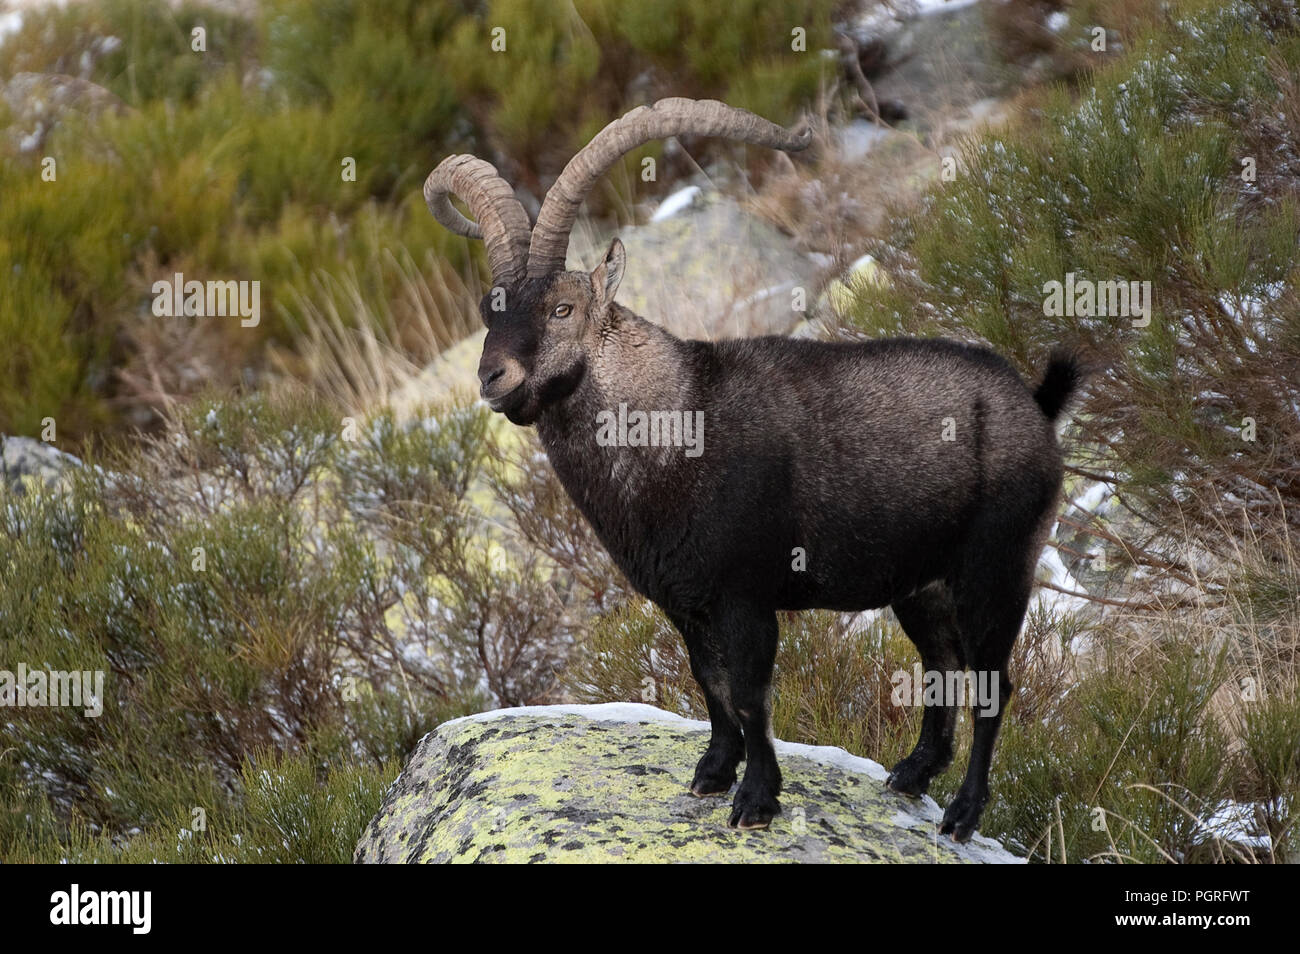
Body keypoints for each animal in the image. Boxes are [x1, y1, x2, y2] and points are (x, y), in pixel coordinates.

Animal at [424, 98, 1082, 841]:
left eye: (563, 308)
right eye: (489, 311)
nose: (493, 377)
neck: (674, 423)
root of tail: (1035, 403)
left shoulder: (745, 595)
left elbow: (748, 693)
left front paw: (757, 800)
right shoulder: (685, 601)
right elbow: (708, 684)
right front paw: (713, 772)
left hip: (997, 564)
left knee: (994, 684)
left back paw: (963, 813)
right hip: (922, 583)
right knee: (940, 663)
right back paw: (912, 773)